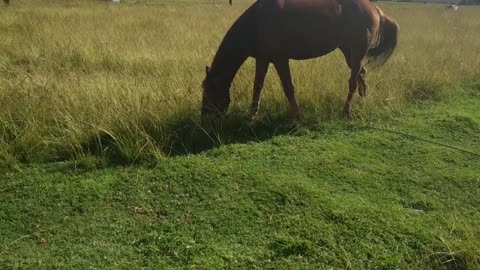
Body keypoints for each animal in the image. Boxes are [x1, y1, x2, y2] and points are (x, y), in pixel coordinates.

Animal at [201, 0, 400, 124]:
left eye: (209, 90)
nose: (204, 118)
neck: (257, 22)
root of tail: (375, 9)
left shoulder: (280, 59)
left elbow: (288, 87)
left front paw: (297, 117)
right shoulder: (263, 59)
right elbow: (257, 85)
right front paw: (252, 114)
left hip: (357, 50)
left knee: (352, 81)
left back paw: (346, 112)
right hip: (348, 51)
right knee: (361, 75)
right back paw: (362, 103)